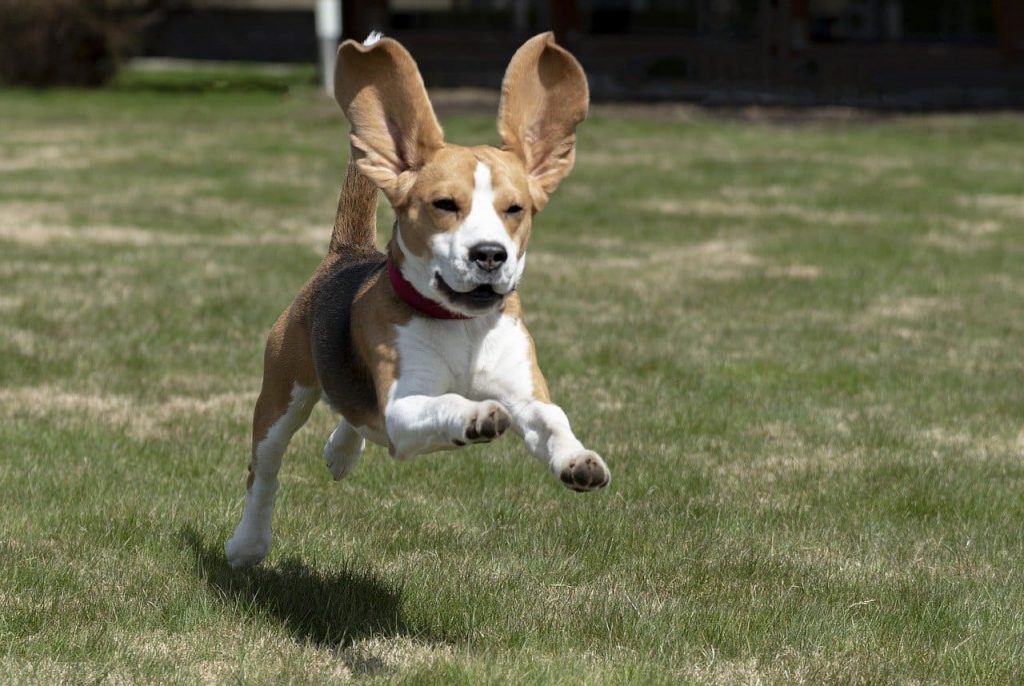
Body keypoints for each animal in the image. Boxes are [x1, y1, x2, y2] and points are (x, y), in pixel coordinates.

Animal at [225, 30, 606, 569]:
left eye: (515, 209)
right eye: (444, 205)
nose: (490, 254)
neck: (461, 325)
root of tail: (346, 253)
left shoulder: (523, 391)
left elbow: (552, 419)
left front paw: (578, 460)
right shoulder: (406, 408)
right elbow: (444, 401)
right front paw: (475, 415)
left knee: (357, 416)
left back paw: (341, 452)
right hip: (282, 394)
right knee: (265, 471)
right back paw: (247, 544)